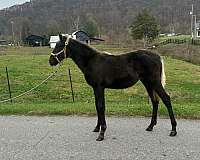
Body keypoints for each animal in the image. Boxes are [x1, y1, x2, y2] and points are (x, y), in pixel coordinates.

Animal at [49, 35, 177, 141]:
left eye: (59, 46)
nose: (51, 61)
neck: (91, 60)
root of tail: (157, 56)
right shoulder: (96, 88)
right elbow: (97, 106)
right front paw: (97, 128)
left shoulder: (99, 87)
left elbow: (101, 106)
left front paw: (101, 133)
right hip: (148, 83)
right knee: (155, 101)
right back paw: (150, 126)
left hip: (154, 82)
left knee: (166, 99)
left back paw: (173, 130)